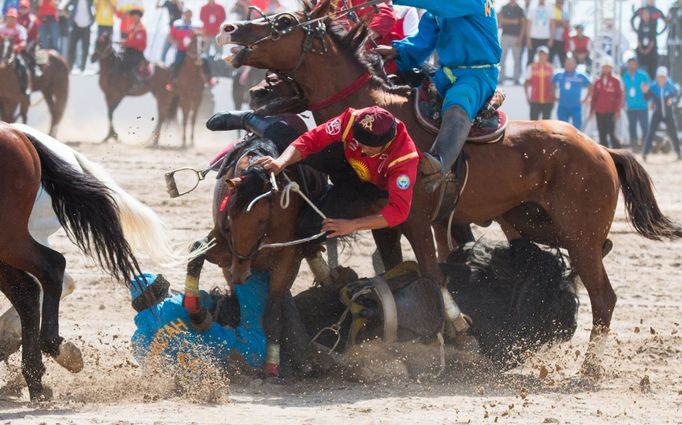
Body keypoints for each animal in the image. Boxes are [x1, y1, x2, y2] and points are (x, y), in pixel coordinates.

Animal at [218, 1, 680, 376]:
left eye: (283, 22)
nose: (232, 30)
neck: (378, 116)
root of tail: (602, 148)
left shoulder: (416, 220)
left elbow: (434, 273)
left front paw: (461, 331)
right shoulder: (392, 224)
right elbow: (397, 266)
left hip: (579, 232)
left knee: (604, 297)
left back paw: (590, 367)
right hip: (534, 223)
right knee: (589, 259)